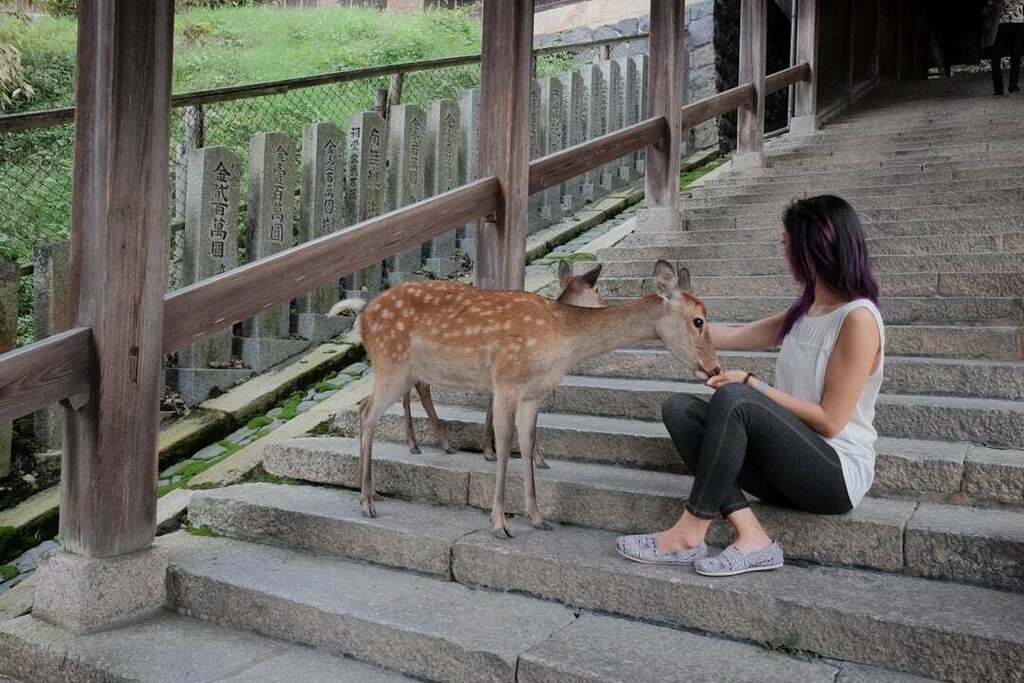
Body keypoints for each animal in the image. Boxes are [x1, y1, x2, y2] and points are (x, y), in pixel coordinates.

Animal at [331, 259, 716, 536]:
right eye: (699, 320)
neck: (561, 339)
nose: (713, 367)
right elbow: (504, 446)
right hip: (392, 363)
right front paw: (500, 523)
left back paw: (374, 491)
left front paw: (537, 517)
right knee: (367, 412)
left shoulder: (533, 394)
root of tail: (363, 314)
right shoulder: (507, 382)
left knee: (370, 407)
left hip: (403, 370)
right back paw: (367, 501)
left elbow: (527, 445)